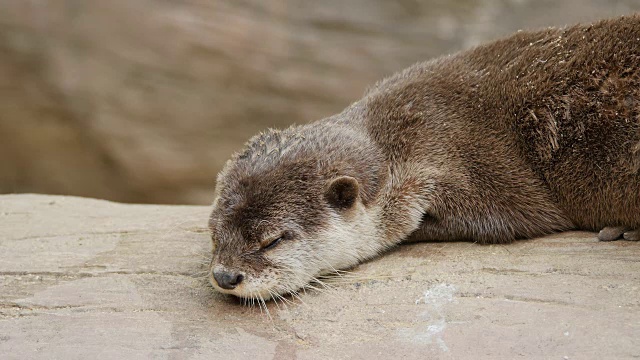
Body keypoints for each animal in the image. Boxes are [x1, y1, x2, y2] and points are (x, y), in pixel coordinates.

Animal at [208, 15, 636, 300]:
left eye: (272, 241)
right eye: (213, 234)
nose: (226, 277)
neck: (400, 141)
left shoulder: (474, 165)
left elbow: (510, 220)